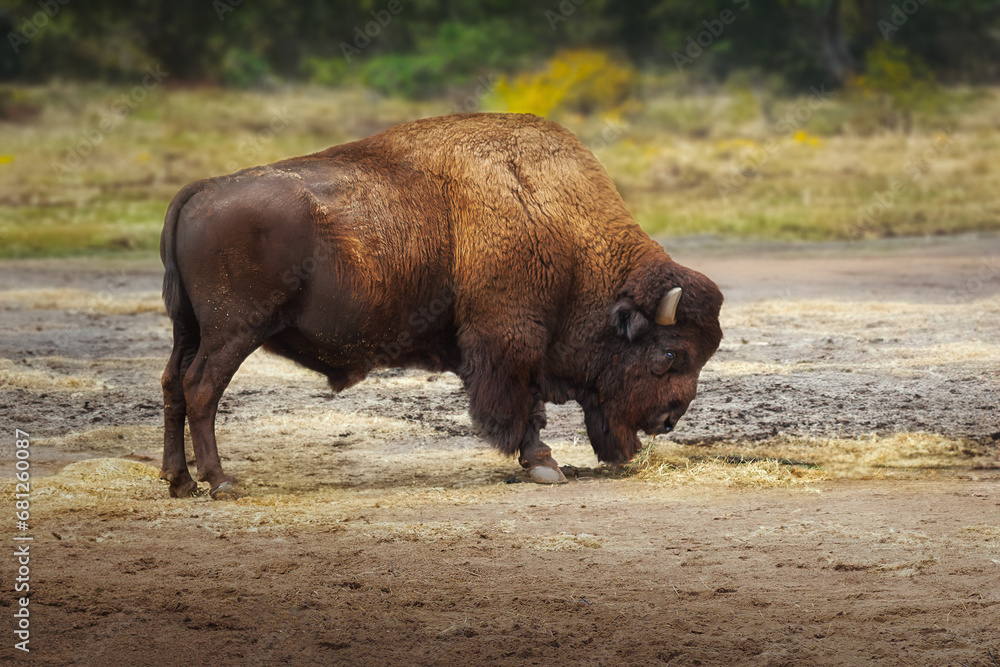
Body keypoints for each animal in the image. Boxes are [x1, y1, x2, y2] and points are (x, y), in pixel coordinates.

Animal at [159, 113, 723, 498]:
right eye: (669, 355)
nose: (669, 420)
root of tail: (200, 191)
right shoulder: (510, 340)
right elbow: (524, 406)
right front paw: (545, 465)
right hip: (233, 332)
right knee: (201, 389)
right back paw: (220, 482)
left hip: (189, 329)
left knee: (172, 385)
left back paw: (179, 480)